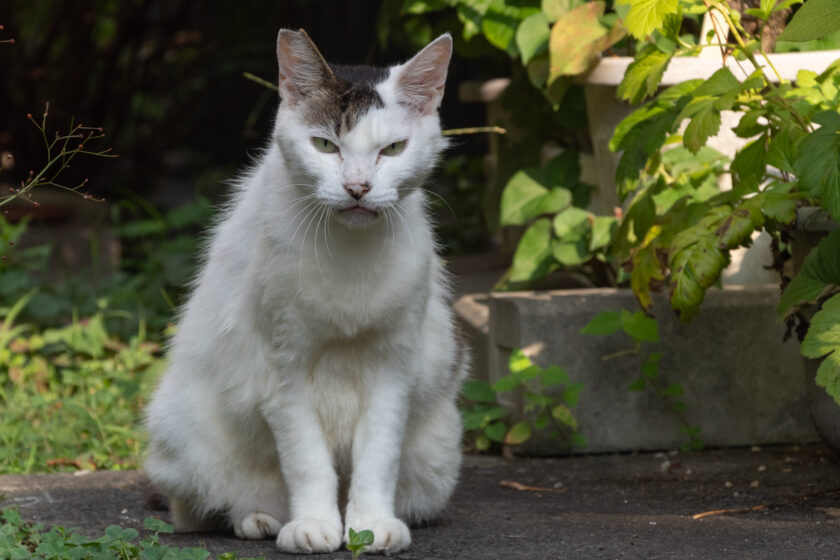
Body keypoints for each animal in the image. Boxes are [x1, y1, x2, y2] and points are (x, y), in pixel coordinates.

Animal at [147, 28, 470, 552]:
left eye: (393, 149)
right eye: (324, 145)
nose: (358, 187)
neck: (349, 253)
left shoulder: (394, 367)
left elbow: (378, 456)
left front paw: (370, 525)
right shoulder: (282, 369)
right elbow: (305, 458)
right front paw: (314, 524)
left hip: (437, 455)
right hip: (179, 430)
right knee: (192, 510)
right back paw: (258, 516)